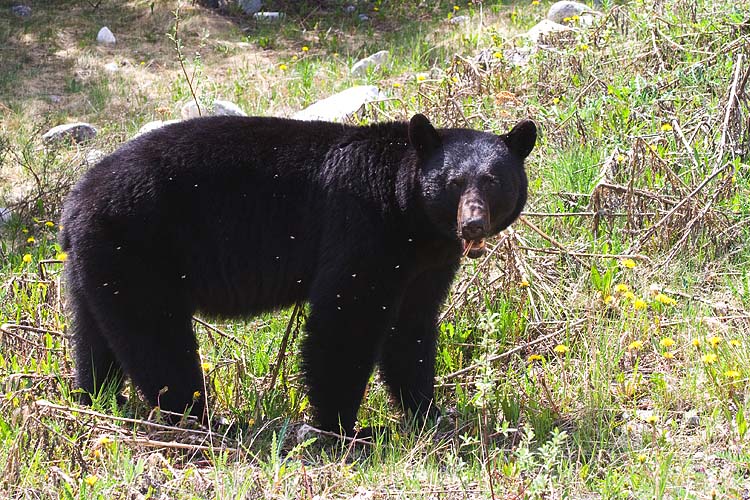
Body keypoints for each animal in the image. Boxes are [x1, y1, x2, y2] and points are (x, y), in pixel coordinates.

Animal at [59, 114, 536, 436]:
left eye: (494, 181)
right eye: (453, 183)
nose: (472, 224)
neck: (412, 217)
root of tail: (74, 204)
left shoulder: (428, 262)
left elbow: (411, 328)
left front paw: (429, 413)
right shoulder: (363, 226)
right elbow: (347, 316)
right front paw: (342, 427)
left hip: (98, 263)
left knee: (95, 335)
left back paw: (98, 399)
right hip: (139, 249)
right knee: (157, 340)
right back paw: (203, 420)